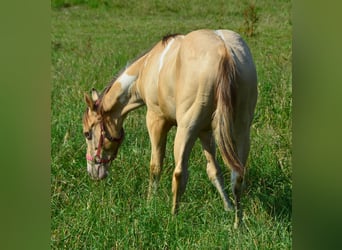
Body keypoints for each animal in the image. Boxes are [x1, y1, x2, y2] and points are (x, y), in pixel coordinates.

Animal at [82, 28, 256, 228]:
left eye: (87, 133)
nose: (92, 172)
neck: (146, 69)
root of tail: (224, 52)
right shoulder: (205, 132)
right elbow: (214, 170)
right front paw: (227, 206)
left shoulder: (156, 121)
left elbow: (155, 166)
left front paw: (150, 203)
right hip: (241, 130)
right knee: (237, 174)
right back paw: (237, 223)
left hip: (186, 130)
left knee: (179, 173)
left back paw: (174, 217)